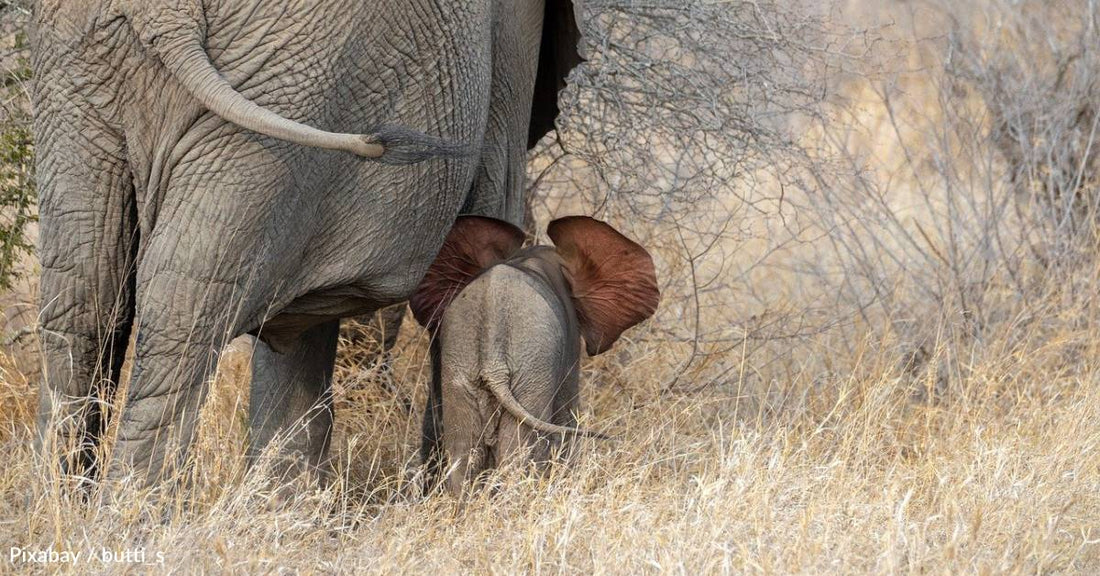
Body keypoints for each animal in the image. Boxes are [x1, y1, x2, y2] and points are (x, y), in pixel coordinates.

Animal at [31, 0, 585, 486]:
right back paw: (132, 517)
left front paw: (282, 505)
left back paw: (71, 513)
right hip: (296, 80)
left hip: (87, 77)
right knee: (181, 316)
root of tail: (165, 15)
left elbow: (295, 330)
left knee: (85, 301)